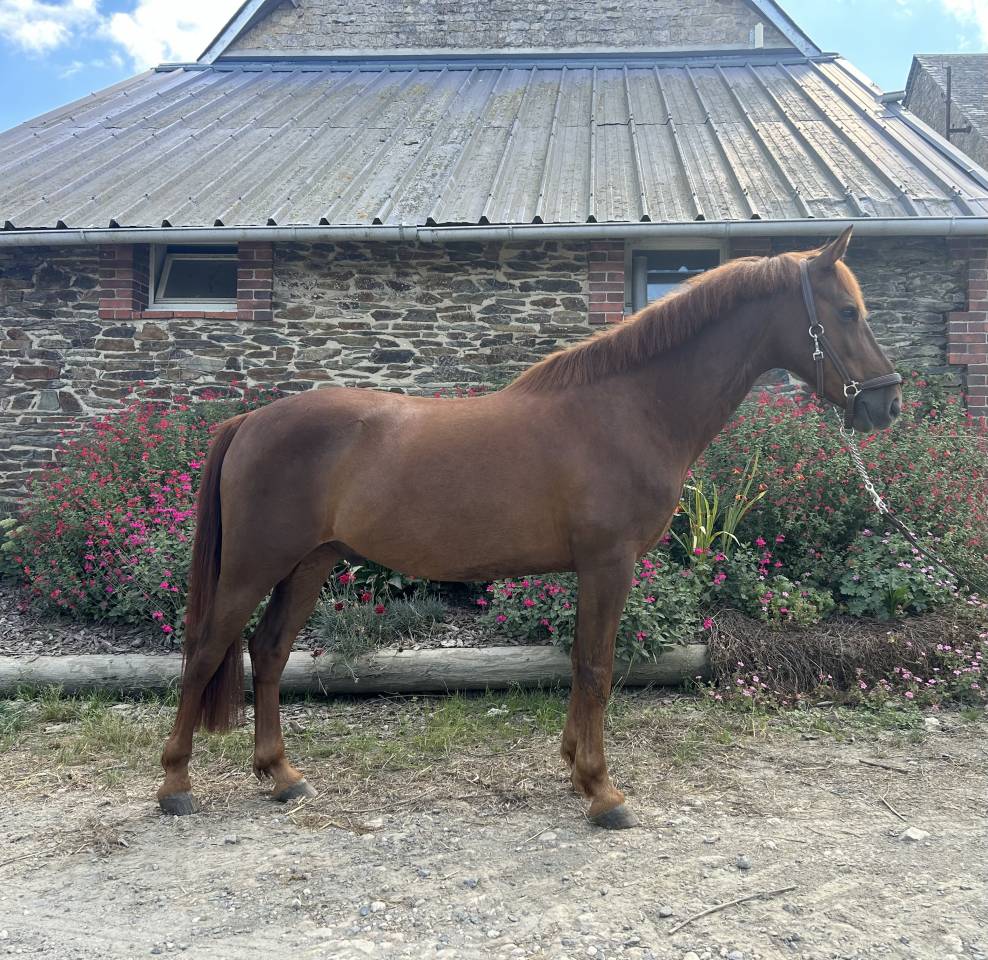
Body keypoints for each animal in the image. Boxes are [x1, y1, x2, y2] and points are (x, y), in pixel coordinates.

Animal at [157, 227, 902, 828]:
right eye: (846, 312)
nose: (887, 404)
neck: (627, 409)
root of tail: (249, 421)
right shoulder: (608, 563)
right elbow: (598, 668)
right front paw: (603, 792)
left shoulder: (593, 570)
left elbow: (579, 662)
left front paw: (575, 767)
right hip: (254, 565)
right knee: (206, 650)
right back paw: (175, 785)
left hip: (310, 562)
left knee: (269, 652)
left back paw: (281, 776)